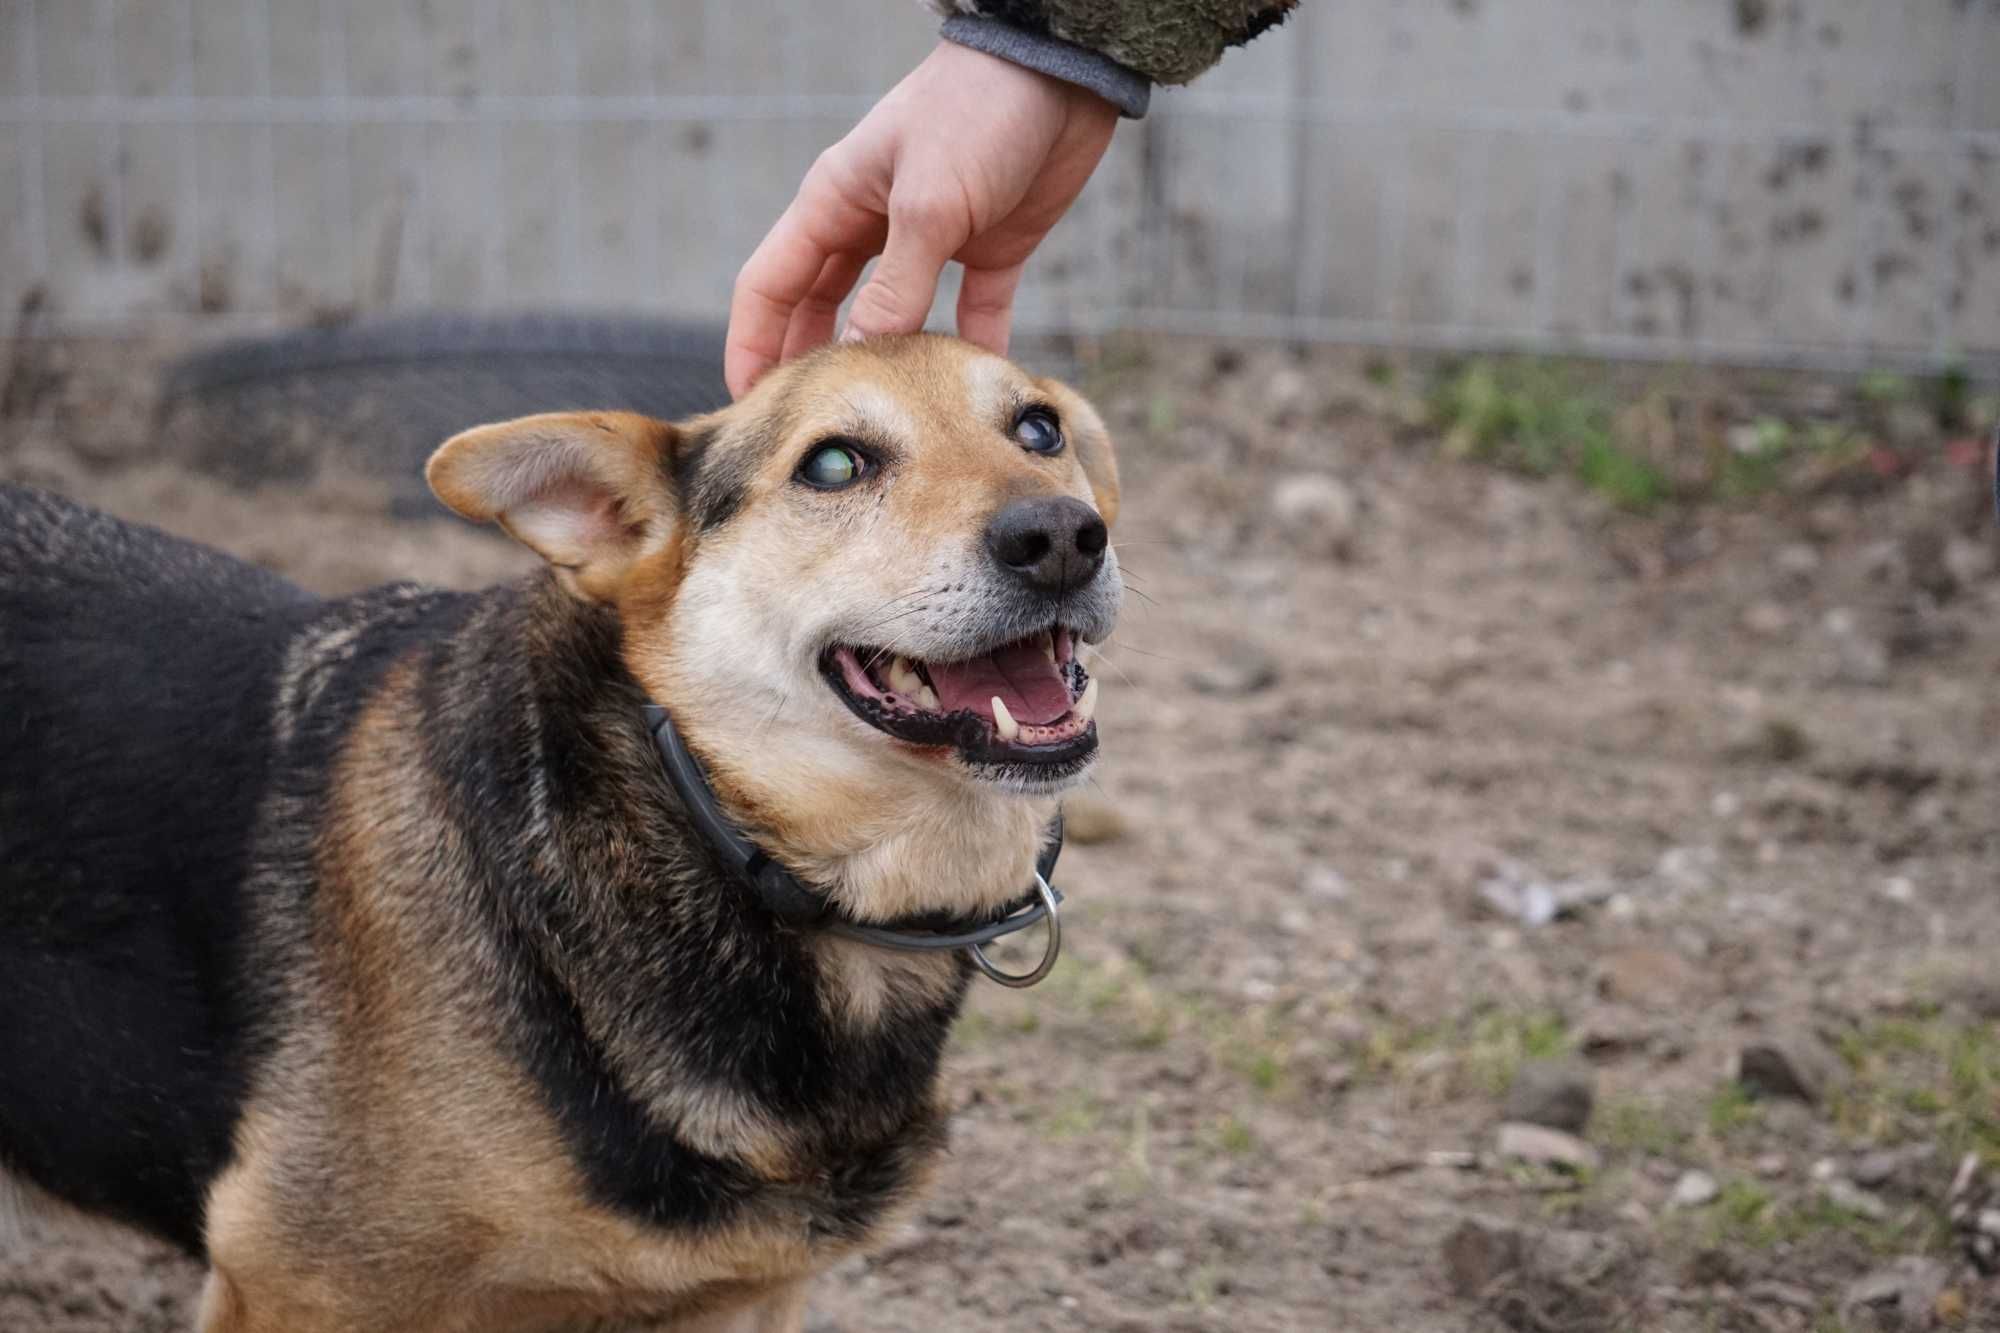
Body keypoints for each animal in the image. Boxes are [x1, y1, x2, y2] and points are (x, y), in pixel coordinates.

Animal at [0, 330, 1128, 1320]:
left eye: (1036, 429)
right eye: (836, 463)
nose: (1061, 536)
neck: (719, 834)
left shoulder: (741, 1297)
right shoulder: (298, 1283)